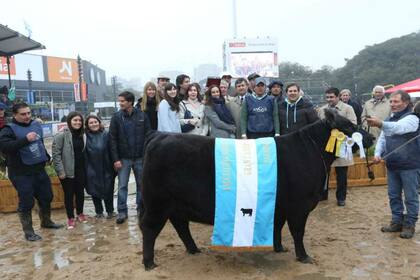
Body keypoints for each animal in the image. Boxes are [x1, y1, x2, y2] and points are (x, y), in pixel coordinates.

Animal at [139, 109, 372, 270]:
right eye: (348, 127)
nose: (369, 138)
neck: (309, 150)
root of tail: (159, 136)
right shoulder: (299, 206)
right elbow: (297, 232)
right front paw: (303, 256)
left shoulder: (280, 205)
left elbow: (277, 226)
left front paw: (279, 248)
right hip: (156, 202)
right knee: (149, 228)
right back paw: (149, 263)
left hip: (175, 204)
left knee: (180, 225)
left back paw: (194, 249)